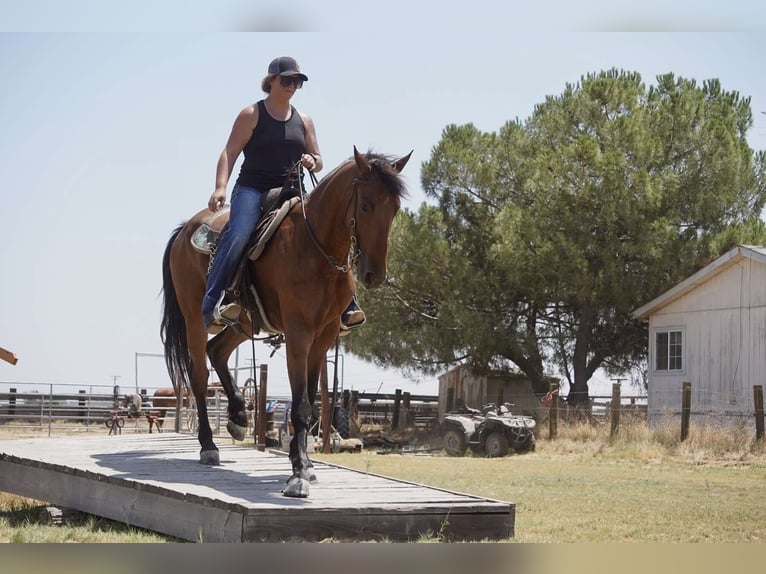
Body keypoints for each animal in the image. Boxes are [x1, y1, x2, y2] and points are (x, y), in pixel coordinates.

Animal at [160, 147, 411, 497]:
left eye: (395, 208)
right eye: (366, 205)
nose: (374, 274)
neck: (316, 247)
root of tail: (186, 229)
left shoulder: (324, 335)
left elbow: (310, 402)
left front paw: (304, 463)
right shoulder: (298, 332)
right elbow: (301, 405)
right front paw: (298, 474)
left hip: (245, 321)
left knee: (218, 351)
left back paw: (239, 416)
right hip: (195, 318)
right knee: (199, 375)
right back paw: (209, 446)